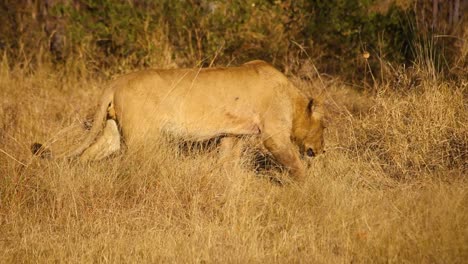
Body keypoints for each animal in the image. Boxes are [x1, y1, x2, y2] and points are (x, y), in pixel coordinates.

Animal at [33, 60, 326, 180]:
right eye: (324, 126)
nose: (322, 150)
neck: (292, 96)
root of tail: (117, 81)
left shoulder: (232, 134)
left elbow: (226, 162)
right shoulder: (273, 135)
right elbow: (294, 162)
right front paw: (307, 185)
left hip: (113, 132)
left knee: (87, 155)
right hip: (141, 136)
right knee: (132, 164)